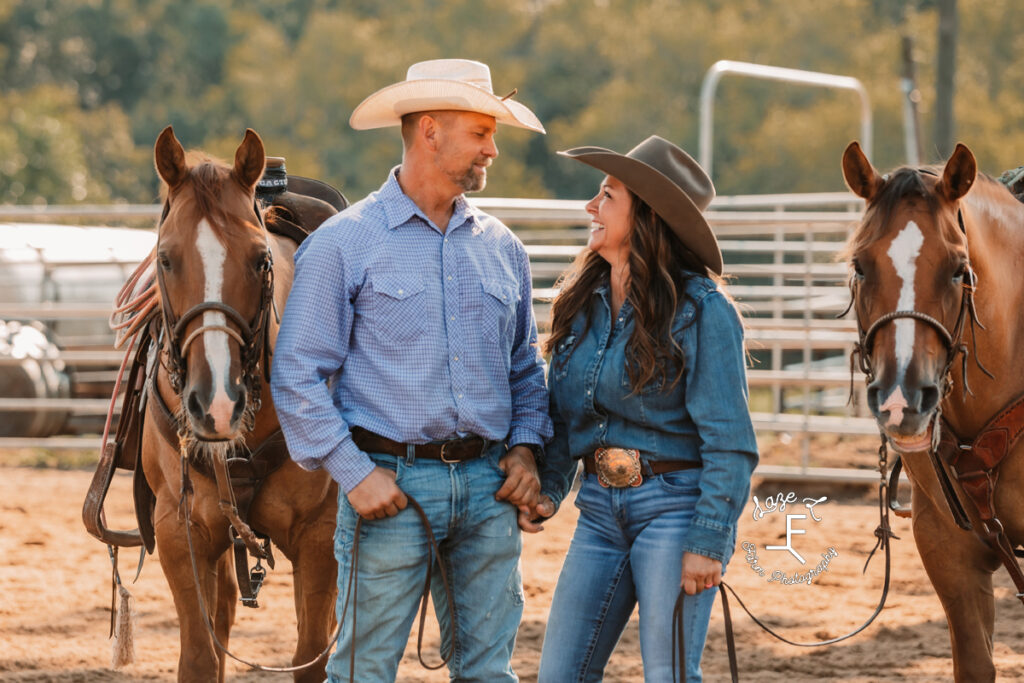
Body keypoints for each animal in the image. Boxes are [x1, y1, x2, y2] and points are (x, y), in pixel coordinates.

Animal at [144, 126, 337, 679]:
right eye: (166, 258)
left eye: (260, 259)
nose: (217, 403)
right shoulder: (180, 533)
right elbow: (200, 658)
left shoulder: (321, 539)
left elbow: (311, 656)